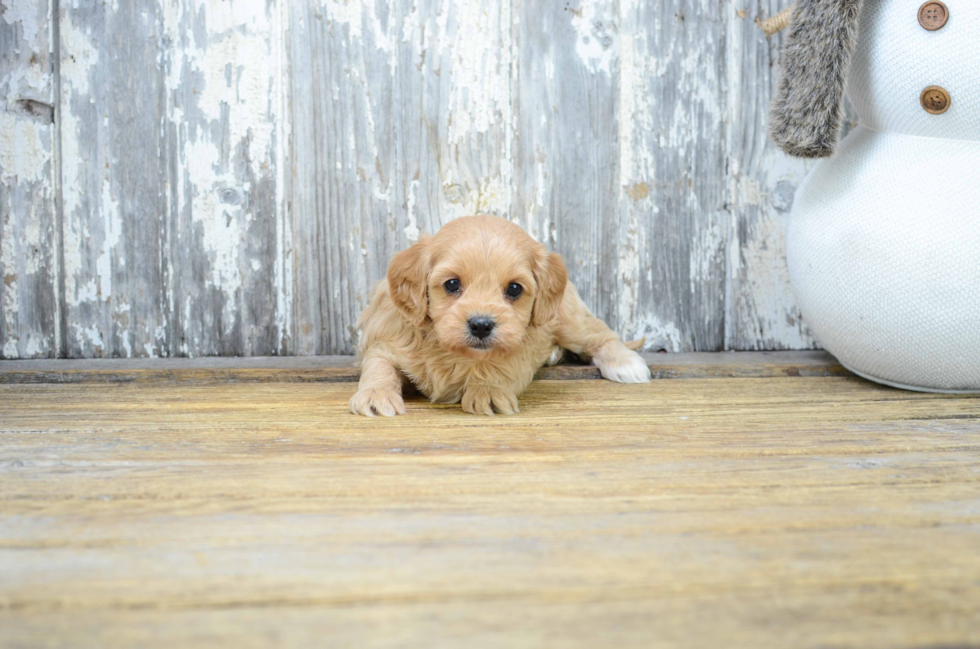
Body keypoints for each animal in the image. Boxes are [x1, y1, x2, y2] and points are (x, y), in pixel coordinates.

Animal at [350, 213, 652, 416]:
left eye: (514, 288)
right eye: (452, 284)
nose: (481, 325)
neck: (457, 353)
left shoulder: (518, 350)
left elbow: (499, 365)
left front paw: (487, 390)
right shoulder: (387, 341)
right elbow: (379, 366)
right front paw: (375, 395)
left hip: (568, 320)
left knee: (601, 333)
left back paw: (625, 363)